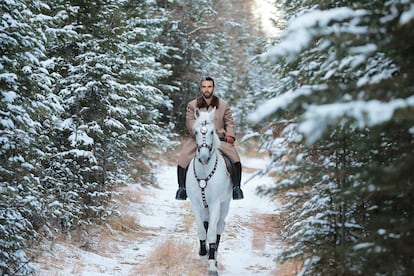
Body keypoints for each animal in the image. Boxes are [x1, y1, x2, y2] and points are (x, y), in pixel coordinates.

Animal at [185, 106, 231, 274]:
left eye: (212, 132)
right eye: (196, 132)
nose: (204, 158)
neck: (204, 171)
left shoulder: (215, 204)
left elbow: (211, 233)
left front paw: (211, 265)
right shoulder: (196, 204)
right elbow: (201, 230)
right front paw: (203, 255)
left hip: (224, 205)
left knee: (219, 227)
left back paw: (215, 256)